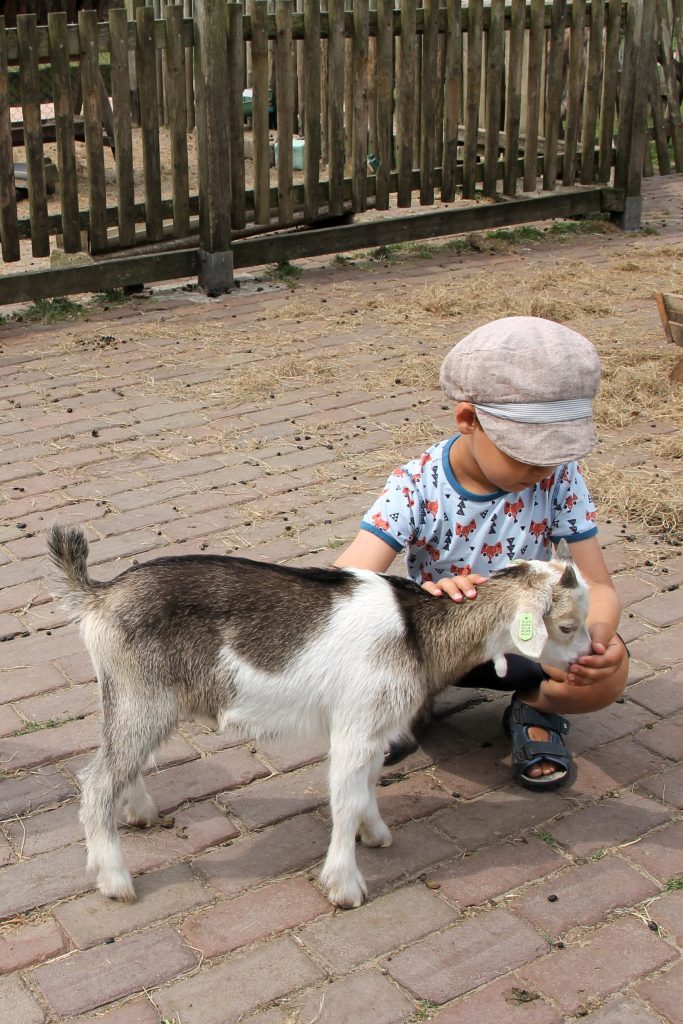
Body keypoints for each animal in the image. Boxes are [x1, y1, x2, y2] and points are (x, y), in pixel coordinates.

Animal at [48, 524, 593, 909]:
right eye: (567, 625)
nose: (591, 659)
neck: (417, 630)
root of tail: (99, 595)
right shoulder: (355, 729)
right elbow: (345, 801)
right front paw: (345, 885)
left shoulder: (373, 728)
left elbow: (367, 787)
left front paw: (375, 834)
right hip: (142, 696)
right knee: (98, 780)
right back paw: (116, 880)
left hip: (138, 700)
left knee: (122, 762)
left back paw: (140, 811)